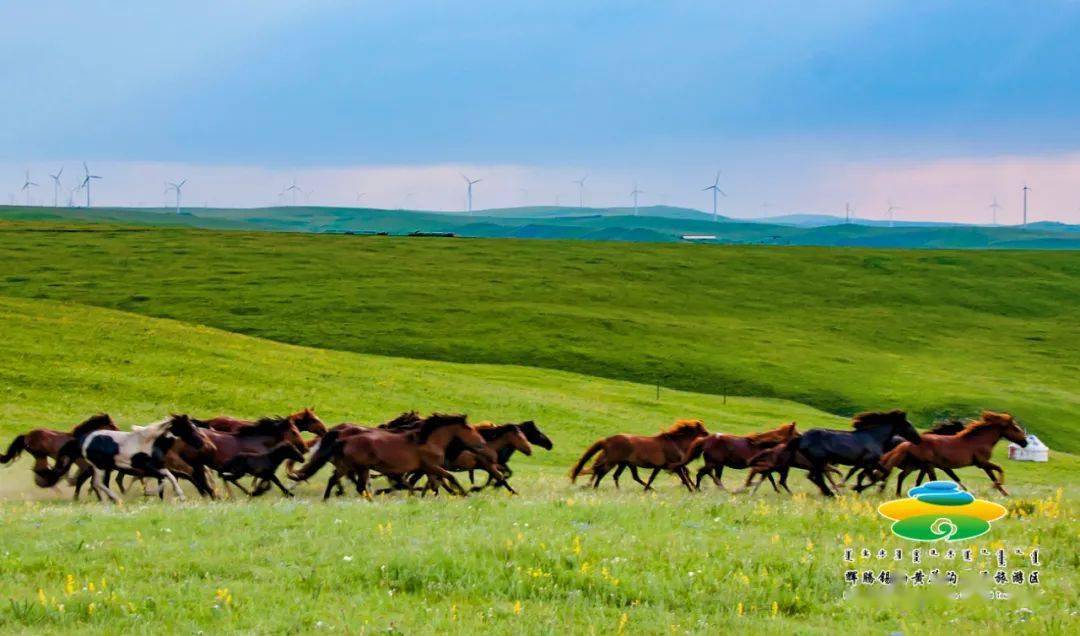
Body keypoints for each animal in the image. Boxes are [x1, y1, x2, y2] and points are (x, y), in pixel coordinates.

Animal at [54, 414, 207, 503]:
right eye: (188, 428)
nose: (201, 443)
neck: (152, 443)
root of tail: (83, 439)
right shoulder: (148, 468)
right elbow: (165, 479)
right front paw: (150, 493)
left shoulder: (157, 467)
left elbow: (170, 478)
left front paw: (180, 496)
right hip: (99, 466)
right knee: (97, 483)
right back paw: (115, 499)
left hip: (104, 467)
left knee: (98, 483)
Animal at [565, 416, 708, 490]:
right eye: (702, 430)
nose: (708, 434)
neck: (674, 442)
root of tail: (607, 440)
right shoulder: (675, 466)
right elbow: (684, 477)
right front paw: (692, 490)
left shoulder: (659, 467)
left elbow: (651, 478)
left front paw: (647, 490)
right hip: (613, 461)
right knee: (601, 472)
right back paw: (595, 487)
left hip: (624, 463)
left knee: (617, 475)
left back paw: (617, 489)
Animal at [786, 408, 920, 498]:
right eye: (908, 425)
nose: (918, 439)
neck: (874, 437)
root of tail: (801, 437)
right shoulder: (869, 463)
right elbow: (872, 478)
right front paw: (855, 488)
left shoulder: (868, 464)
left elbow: (878, 475)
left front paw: (856, 488)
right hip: (819, 462)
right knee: (818, 477)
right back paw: (831, 494)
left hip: (817, 463)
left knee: (812, 476)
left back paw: (830, 493)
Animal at [876, 412, 1028, 496]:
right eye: (1015, 428)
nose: (1025, 442)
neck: (979, 440)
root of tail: (909, 443)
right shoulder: (981, 462)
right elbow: (999, 469)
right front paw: (996, 488)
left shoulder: (982, 464)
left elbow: (992, 476)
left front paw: (1004, 493)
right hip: (927, 465)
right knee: (929, 480)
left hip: (916, 465)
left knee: (901, 476)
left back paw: (897, 494)